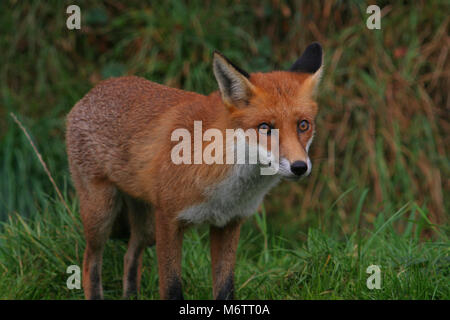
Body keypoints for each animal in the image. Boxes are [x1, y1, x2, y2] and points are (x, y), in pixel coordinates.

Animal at [65, 41, 324, 298]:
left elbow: (225, 288)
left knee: (130, 257)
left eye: (303, 125)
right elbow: (171, 288)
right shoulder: (168, 220)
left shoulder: (228, 223)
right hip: (102, 214)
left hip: (146, 228)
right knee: (90, 263)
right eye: (265, 128)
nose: (300, 167)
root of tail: (92, 92)